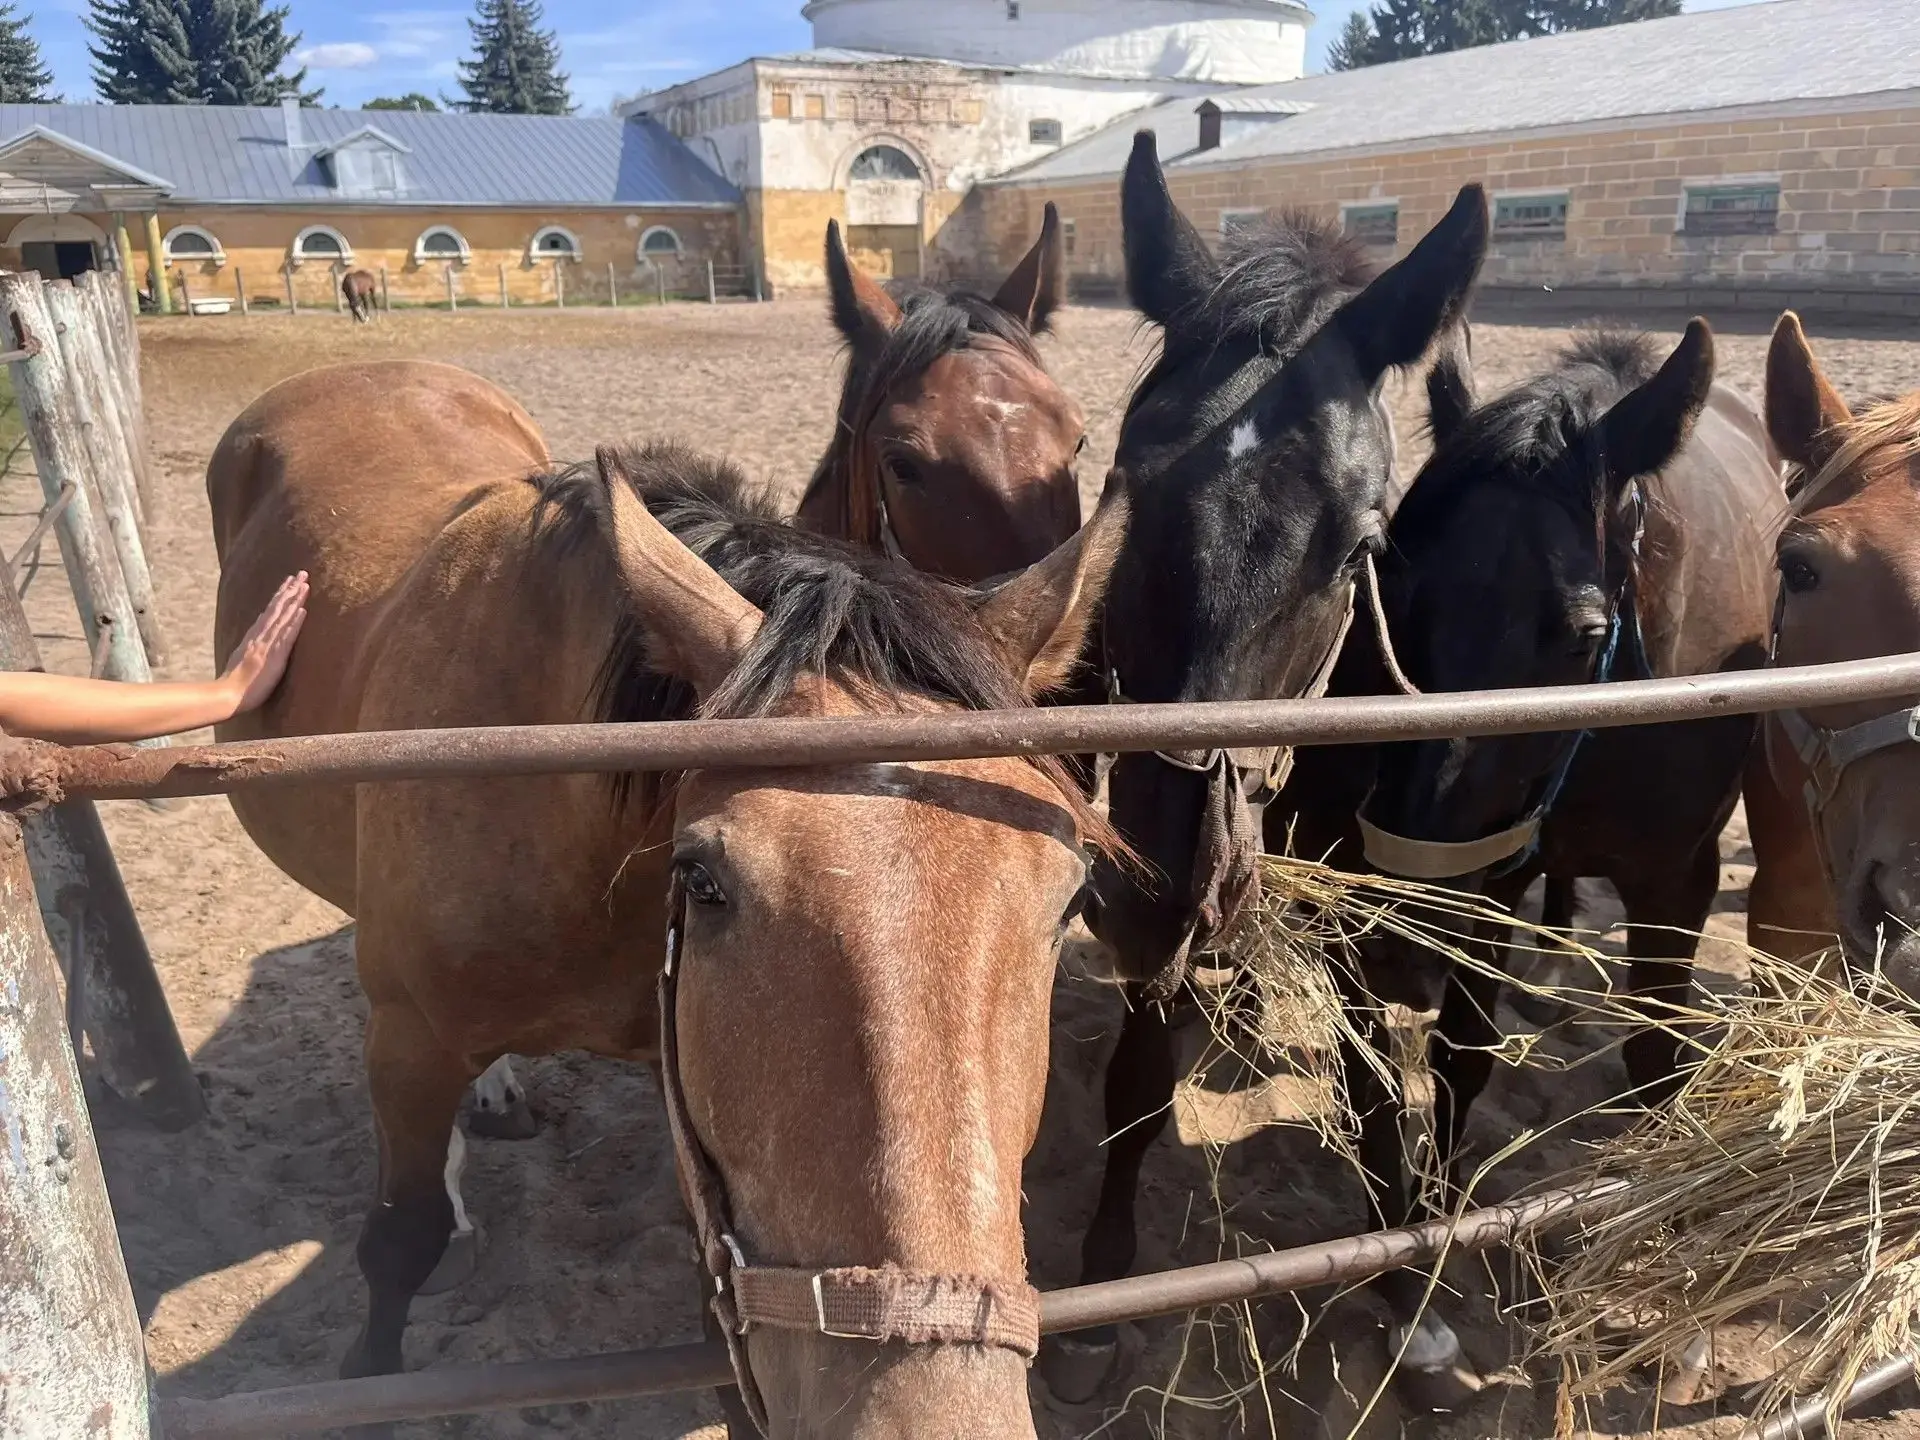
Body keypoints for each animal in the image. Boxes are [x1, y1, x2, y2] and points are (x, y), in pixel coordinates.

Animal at [1040, 130, 1490, 1401]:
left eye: (1361, 545)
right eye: (1119, 490)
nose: (1156, 891)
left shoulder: (1346, 891)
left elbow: (1379, 1076)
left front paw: (1407, 1282)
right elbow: (1138, 1081)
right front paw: (1099, 1289)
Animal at [1286, 321, 1782, 1403]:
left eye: (1582, 633)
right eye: (1396, 596)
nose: (1398, 931)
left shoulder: (1678, 881)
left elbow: (1655, 1056)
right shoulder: (1496, 881)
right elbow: (1460, 1060)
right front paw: (1434, 1245)